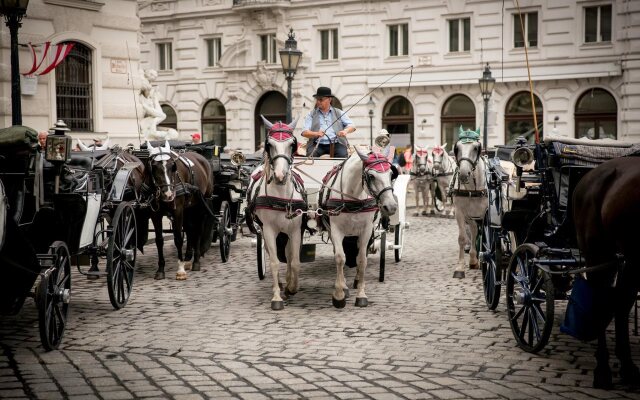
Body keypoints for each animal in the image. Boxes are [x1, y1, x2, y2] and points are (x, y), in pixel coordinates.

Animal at [146, 142, 214, 280]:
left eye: (172, 166)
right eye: (154, 167)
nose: (168, 194)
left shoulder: (178, 211)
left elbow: (178, 238)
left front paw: (180, 269)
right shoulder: (155, 214)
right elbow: (159, 240)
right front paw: (161, 269)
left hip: (201, 206)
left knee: (198, 231)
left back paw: (196, 261)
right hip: (188, 209)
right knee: (190, 229)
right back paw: (187, 258)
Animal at [246, 115, 304, 310]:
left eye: (292, 144)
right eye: (269, 144)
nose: (280, 176)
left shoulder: (295, 230)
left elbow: (294, 260)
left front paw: (292, 287)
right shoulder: (269, 230)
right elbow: (274, 261)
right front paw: (277, 296)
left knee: (287, 253)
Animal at [322, 148, 398, 308]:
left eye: (391, 174)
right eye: (371, 176)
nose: (391, 207)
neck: (353, 196)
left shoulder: (366, 231)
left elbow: (362, 260)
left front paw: (361, 295)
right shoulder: (336, 230)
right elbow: (340, 257)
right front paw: (339, 294)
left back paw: (356, 280)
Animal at [450, 129, 490, 278]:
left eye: (475, 148)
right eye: (457, 148)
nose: (463, 174)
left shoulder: (486, 214)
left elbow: (485, 237)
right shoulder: (460, 212)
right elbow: (462, 238)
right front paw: (460, 268)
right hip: (471, 215)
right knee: (473, 230)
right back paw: (473, 259)